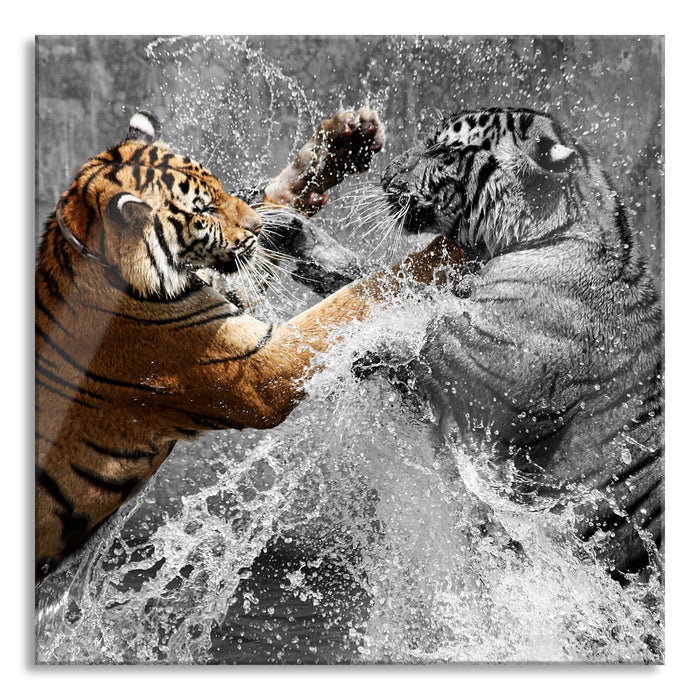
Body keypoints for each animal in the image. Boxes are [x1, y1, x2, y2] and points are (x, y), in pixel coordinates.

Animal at [35, 108, 466, 585]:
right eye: (203, 210)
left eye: (221, 188)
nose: (258, 228)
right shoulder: (261, 368)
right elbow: (353, 296)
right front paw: (445, 252)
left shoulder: (231, 294)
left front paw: (341, 144)